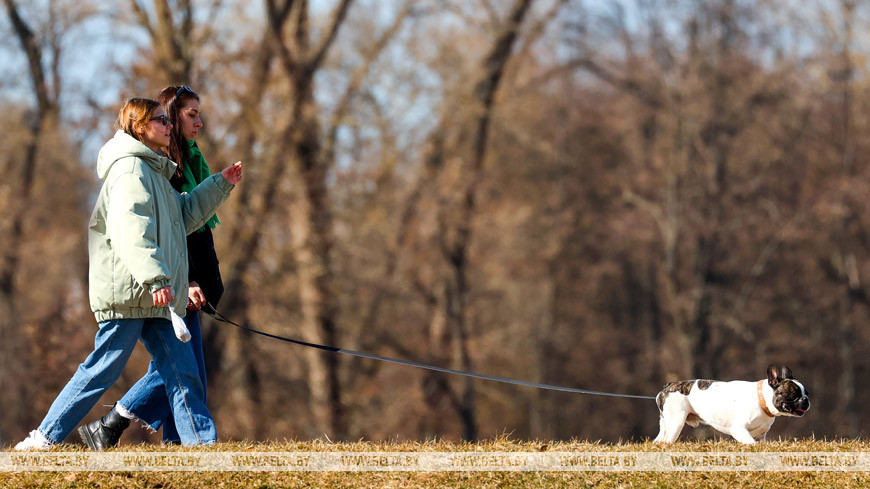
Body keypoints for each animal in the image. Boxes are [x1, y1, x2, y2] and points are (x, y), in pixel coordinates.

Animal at [656, 366, 812, 442]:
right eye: (794, 394)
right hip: (676, 423)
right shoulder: (739, 430)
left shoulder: (760, 436)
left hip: (666, 424)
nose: (805, 399)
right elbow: (750, 443)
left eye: (807, 393)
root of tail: (668, 386)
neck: (761, 400)